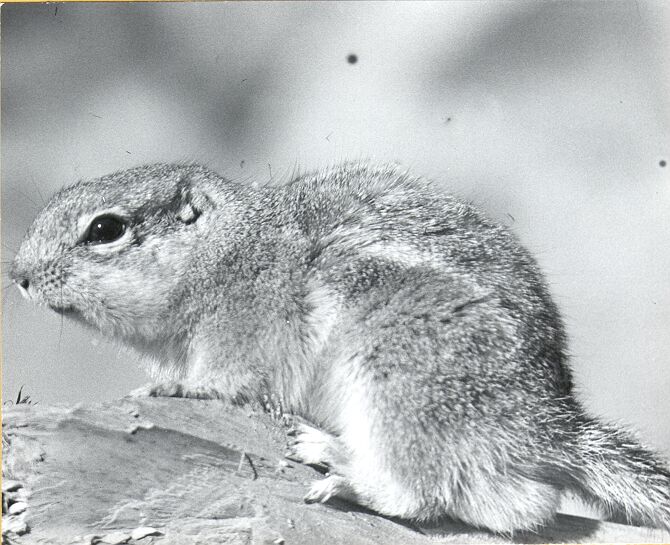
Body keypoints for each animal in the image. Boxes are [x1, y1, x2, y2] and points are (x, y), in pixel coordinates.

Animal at [11, 162, 670, 533]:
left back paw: (342, 469)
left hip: (400, 376)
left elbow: (223, 379)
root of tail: (545, 424)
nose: (18, 275)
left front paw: (171, 386)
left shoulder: (241, 328)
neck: (226, 249)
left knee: (442, 495)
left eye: (105, 229)